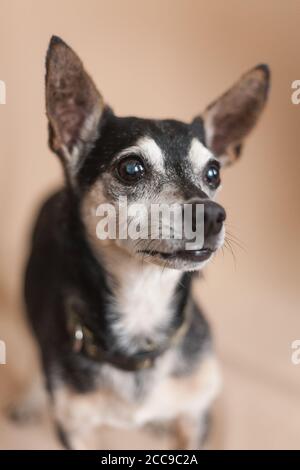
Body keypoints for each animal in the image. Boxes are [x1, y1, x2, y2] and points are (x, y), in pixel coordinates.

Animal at [17, 35, 270, 448]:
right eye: (131, 168)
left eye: (213, 173)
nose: (212, 214)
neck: (143, 303)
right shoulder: (76, 429)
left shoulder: (196, 416)